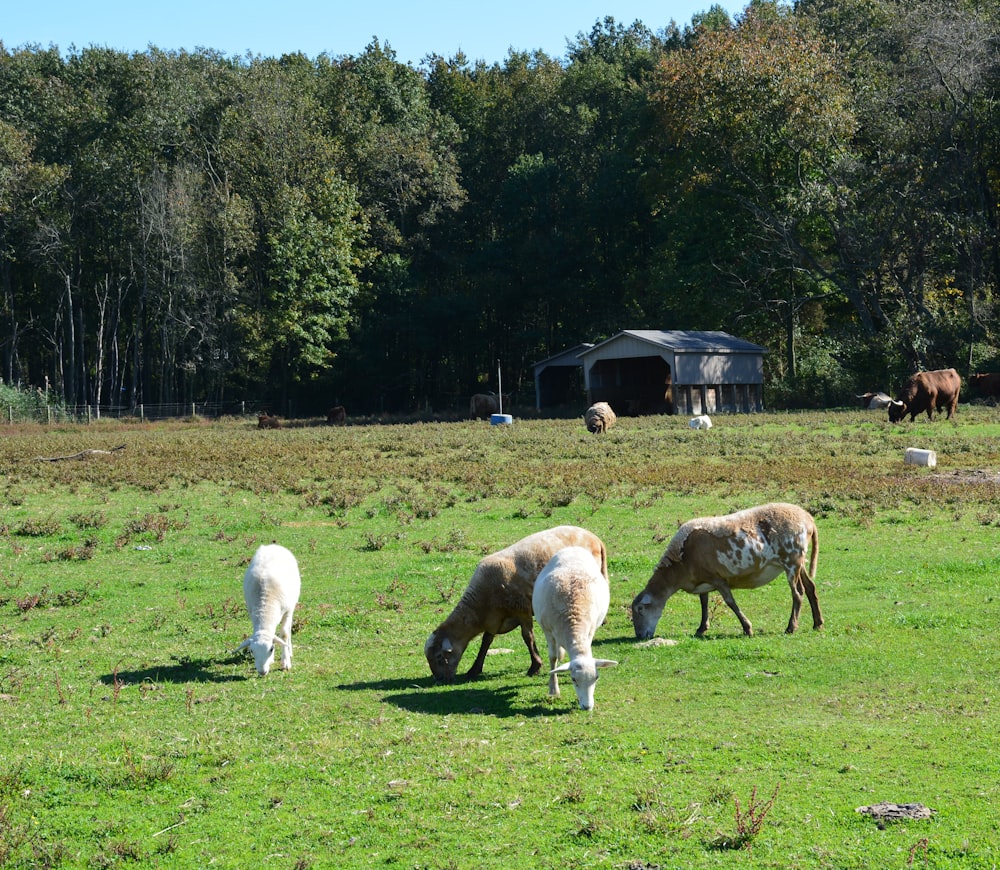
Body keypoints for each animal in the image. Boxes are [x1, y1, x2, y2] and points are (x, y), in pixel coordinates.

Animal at [234, 540, 300, 676]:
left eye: (271, 649)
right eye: (252, 651)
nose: (262, 672)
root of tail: (273, 546)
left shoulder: (287, 610)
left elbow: (284, 634)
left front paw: (286, 662)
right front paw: (272, 660)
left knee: (288, 629)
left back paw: (289, 650)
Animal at [424, 528, 608, 684]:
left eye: (439, 657)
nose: (439, 680)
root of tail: (595, 538)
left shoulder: (522, 610)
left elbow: (527, 637)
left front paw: (535, 667)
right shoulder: (494, 619)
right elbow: (486, 642)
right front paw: (474, 669)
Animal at [532, 548, 616, 712]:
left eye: (596, 678)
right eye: (574, 679)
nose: (587, 706)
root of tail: (573, 548)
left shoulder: (590, 630)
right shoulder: (548, 631)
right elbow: (552, 658)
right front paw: (553, 689)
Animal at [632, 504, 820, 640]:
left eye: (640, 609)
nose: (640, 636)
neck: (680, 564)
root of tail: (808, 518)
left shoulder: (718, 578)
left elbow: (730, 602)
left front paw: (747, 629)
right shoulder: (704, 579)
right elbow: (704, 603)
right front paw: (701, 628)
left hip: (791, 560)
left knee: (798, 593)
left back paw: (791, 627)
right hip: (799, 561)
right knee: (810, 587)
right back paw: (818, 624)